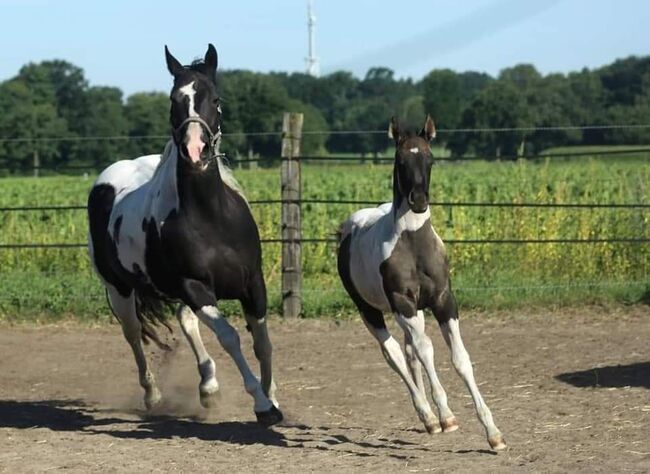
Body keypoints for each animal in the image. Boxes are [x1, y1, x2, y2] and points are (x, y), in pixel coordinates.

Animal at [86, 44, 280, 426]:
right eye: (174, 99)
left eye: (215, 99)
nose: (194, 150)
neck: (211, 218)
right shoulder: (195, 287)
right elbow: (230, 337)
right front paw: (262, 404)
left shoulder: (253, 283)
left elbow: (262, 341)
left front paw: (274, 398)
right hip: (120, 291)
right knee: (134, 335)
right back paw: (153, 394)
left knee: (186, 322)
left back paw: (208, 387)